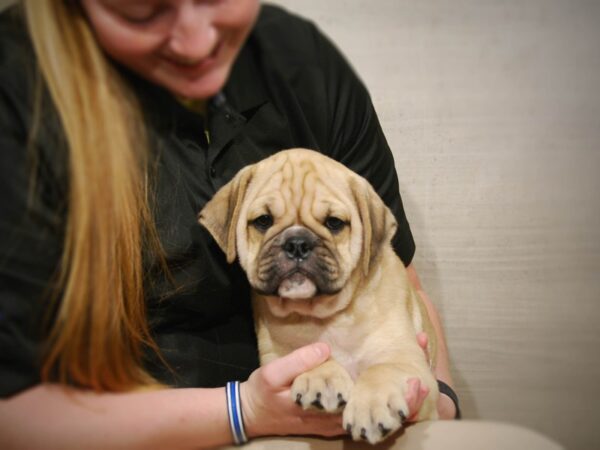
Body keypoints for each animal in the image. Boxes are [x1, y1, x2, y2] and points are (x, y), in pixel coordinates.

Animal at [199, 149, 438, 442]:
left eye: (334, 223)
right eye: (263, 221)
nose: (297, 244)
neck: (326, 314)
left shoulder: (410, 361)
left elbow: (382, 369)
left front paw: (370, 405)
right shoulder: (278, 357)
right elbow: (306, 353)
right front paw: (320, 377)